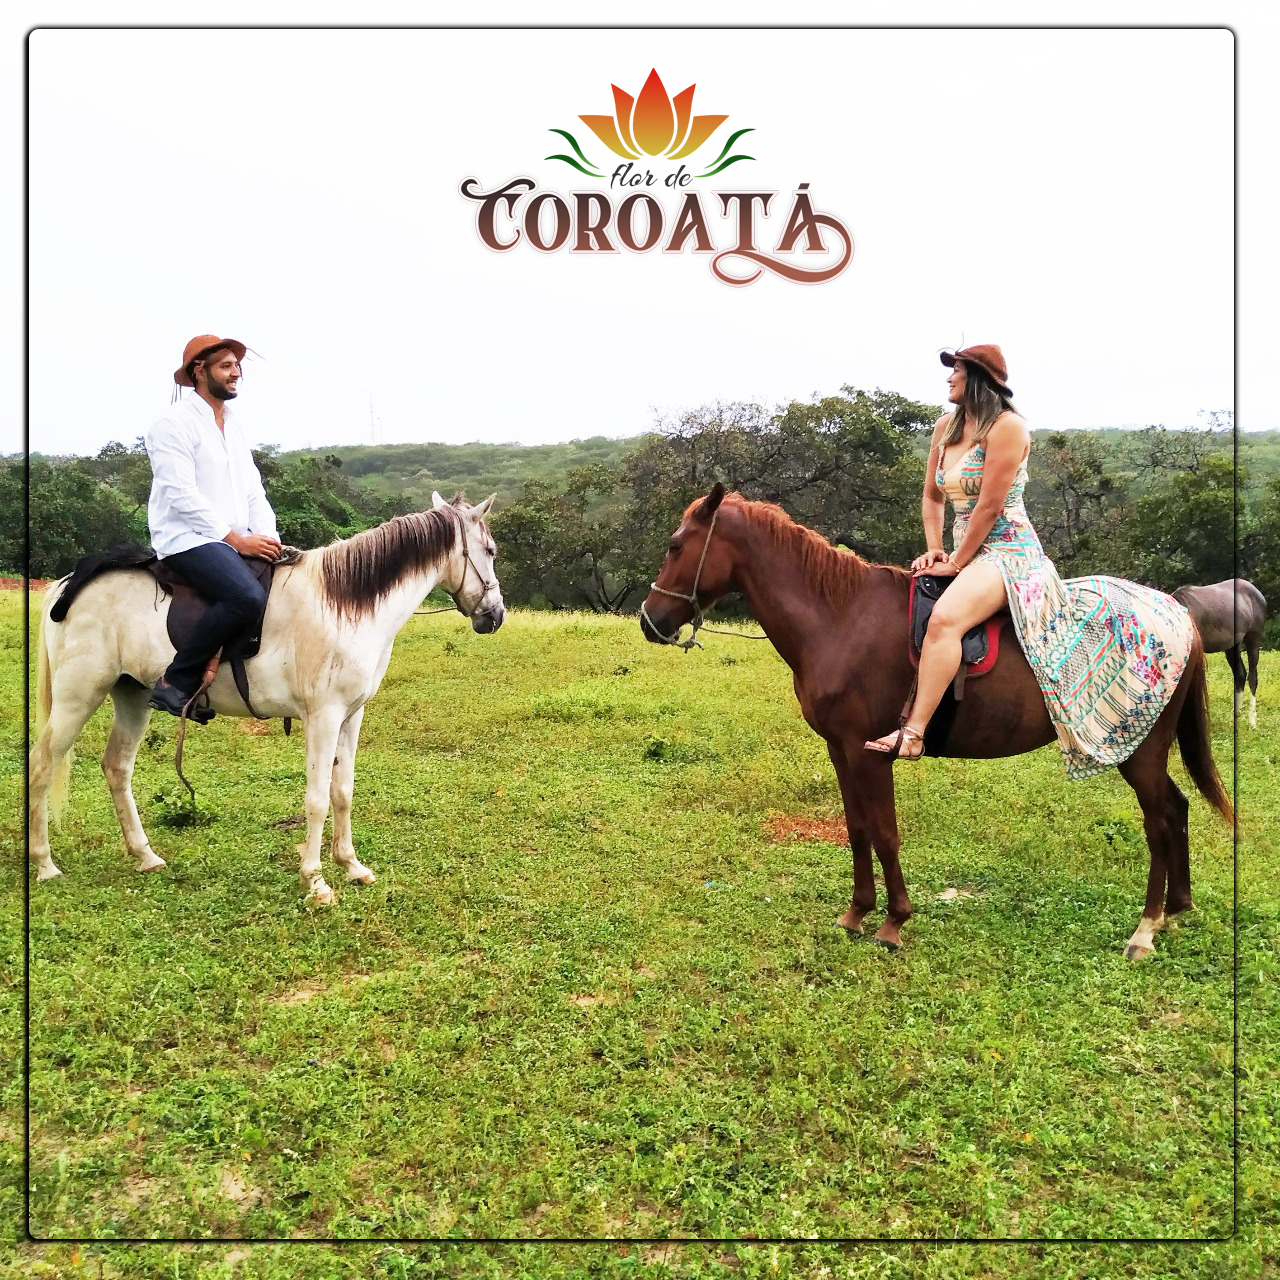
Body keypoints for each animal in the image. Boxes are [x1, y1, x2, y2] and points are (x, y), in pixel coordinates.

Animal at [29, 493, 504, 906]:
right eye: (491, 550)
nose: (495, 615)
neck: (345, 605)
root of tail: (66, 586)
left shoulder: (351, 715)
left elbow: (343, 791)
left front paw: (351, 865)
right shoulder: (323, 717)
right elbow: (316, 799)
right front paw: (315, 881)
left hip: (132, 694)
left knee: (116, 767)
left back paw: (145, 855)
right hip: (78, 696)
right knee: (41, 766)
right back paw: (45, 864)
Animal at [640, 484, 1233, 959]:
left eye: (674, 546)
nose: (650, 621)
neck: (840, 618)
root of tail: (1179, 616)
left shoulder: (868, 751)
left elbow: (884, 833)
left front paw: (893, 921)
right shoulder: (841, 749)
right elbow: (857, 830)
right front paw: (857, 913)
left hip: (1137, 750)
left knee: (1159, 822)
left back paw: (1145, 928)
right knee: (1177, 809)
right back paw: (1176, 909)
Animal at [1172, 578, 1267, 728]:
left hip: (1253, 640)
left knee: (1253, 678)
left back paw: (1252, 721)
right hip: (1233, 646)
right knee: (1240, 675)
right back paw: (1236, 715)